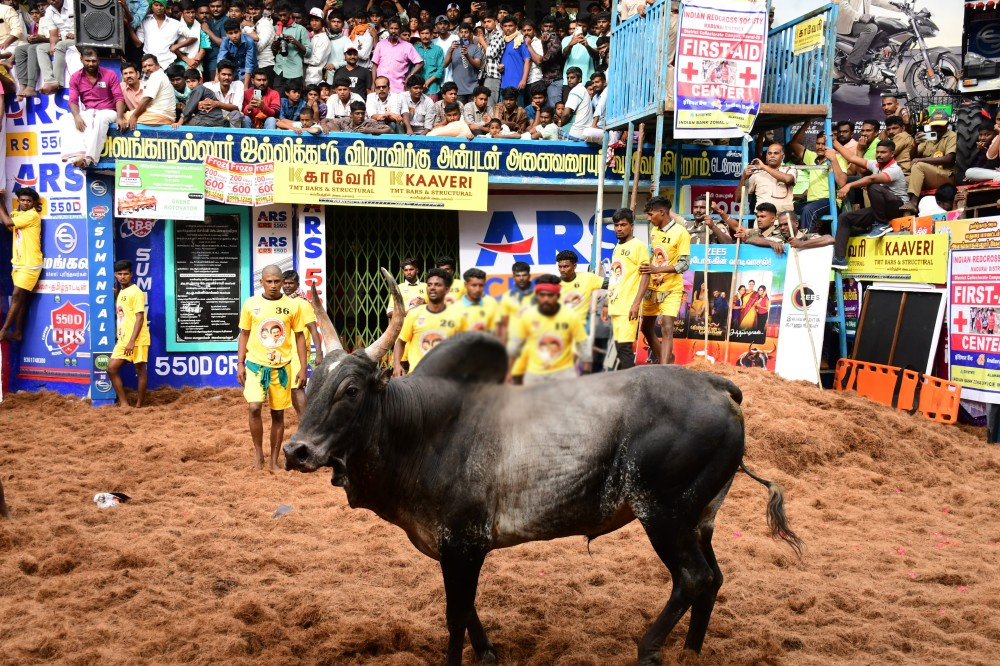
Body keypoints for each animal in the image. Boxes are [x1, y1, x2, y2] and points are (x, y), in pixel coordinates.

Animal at [286, 268, 800, 660]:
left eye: (351, 390)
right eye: (310, 383)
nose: (296, 451)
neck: (418, 428)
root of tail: (718, 386)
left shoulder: (463, 543)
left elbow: (455, 618)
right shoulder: (453, 549)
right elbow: (468, 612)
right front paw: (489, 652)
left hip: (665, 515)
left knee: (692, 578)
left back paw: (648, 648)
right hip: (700, 518)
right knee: (712, 579)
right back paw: (691, 652)